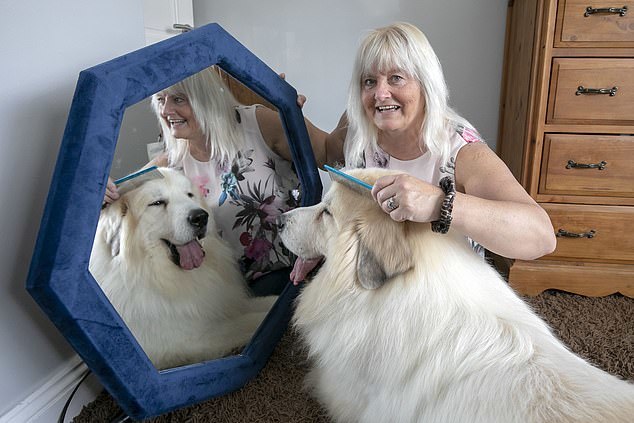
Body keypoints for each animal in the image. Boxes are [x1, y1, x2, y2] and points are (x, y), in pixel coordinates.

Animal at [89, 169, 274, 372]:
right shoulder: (189, 338)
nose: (200, 217)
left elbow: (254, 304)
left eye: (189, 195)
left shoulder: (221, 304)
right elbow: (246, 323)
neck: (155, 275)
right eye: (157, 203)